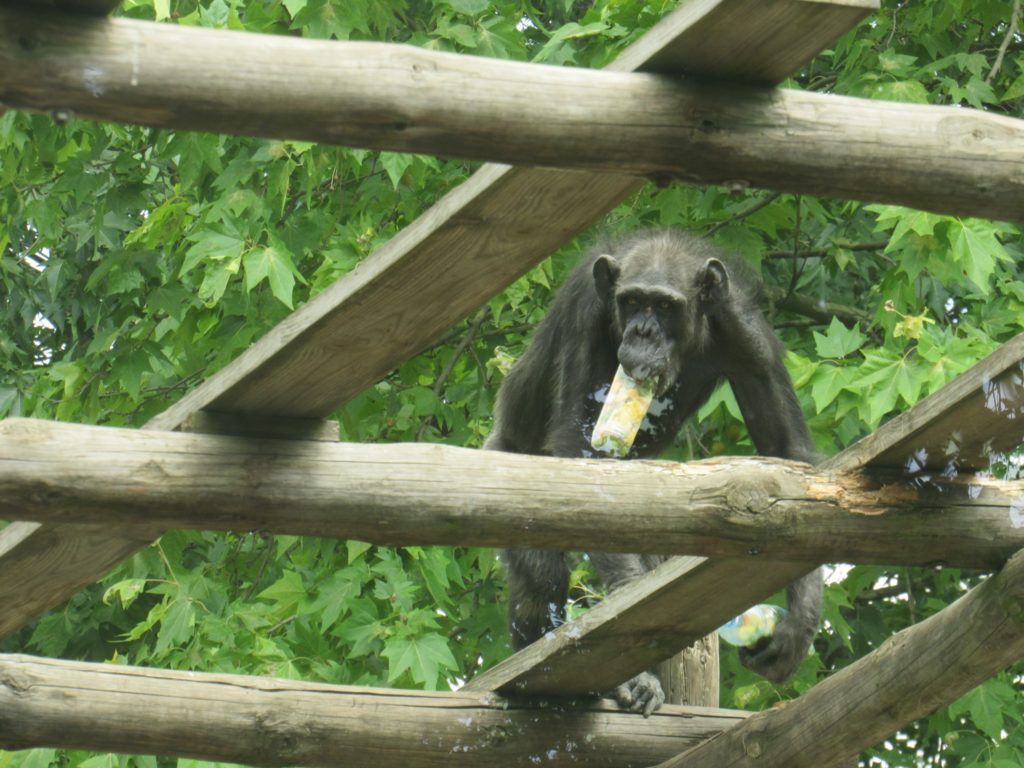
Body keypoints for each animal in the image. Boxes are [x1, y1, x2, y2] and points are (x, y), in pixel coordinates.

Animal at [485, 227, 823, 716]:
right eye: (631, 303)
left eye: (664, 306)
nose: (643, 331)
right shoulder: (584, 312)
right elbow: (575, 444)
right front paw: (626, 637)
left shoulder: (748, 334)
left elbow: (786, 451)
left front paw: (801, 621)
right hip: (502, 461)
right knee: (541, 578)